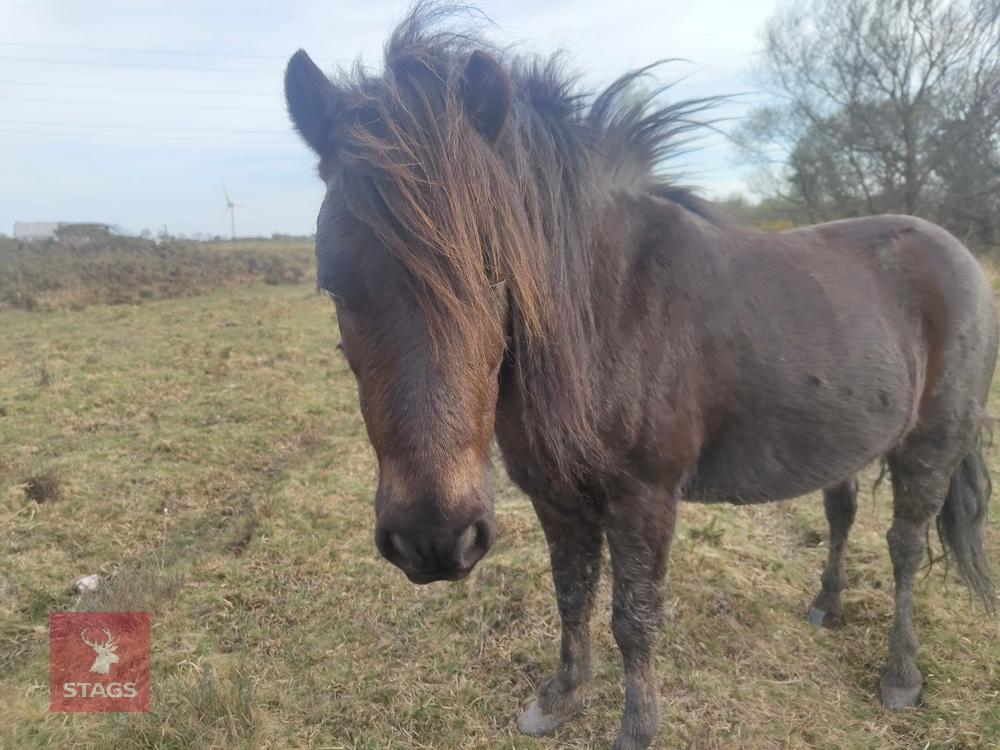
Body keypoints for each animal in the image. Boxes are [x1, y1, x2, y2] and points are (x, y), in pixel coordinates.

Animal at [283, 8, 997, 749]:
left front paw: (636, 727)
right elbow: (572, 594)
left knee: (905, 546)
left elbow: (634, 619)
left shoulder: (645, 497)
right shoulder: (554, 494)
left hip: (933, 443)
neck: (607, 310)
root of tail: (956, 252)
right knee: (842, 512)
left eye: (495, 271)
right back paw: (826, 605)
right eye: (332, 283)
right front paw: (559, 697)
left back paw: (901, 675)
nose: (431, 539)